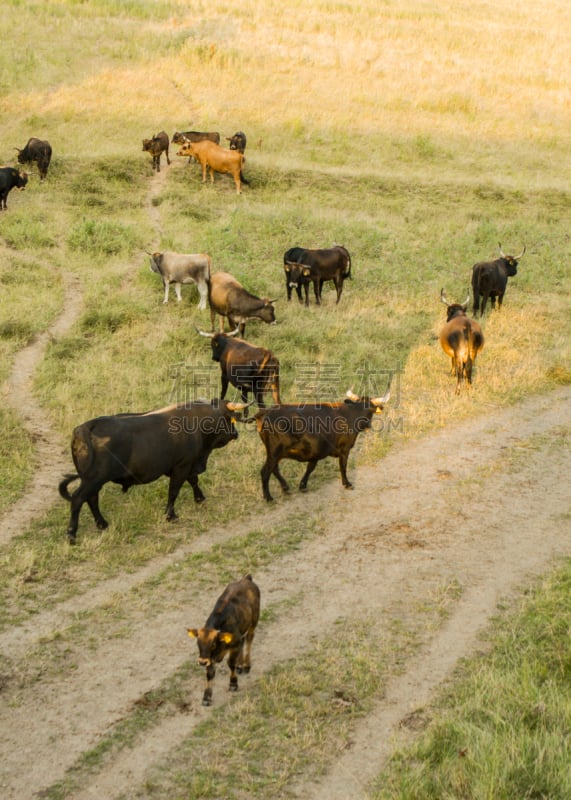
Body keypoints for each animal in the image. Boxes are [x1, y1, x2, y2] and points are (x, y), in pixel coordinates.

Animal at [58, 400, 246, 544]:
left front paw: (200, 498)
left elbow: (193, 480)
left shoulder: (188, 465)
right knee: (78, 499)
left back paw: (102, 524)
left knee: (91, 499)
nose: (236, 434)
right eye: (229, 419)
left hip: (93, 481)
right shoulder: (182, 466)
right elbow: (174, 491)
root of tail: (86, 426)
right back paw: (72, 534)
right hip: (93, 480)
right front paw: (171, 515)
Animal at [188, 576, 262, 708]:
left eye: (212, 644)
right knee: (244, 641)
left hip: (254, 621)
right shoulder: (210, 658)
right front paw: (206, 697)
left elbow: (230, 663)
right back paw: (240, 665)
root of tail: (246, 579)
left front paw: (233, 684)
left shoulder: (234, 646)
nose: (201, 662)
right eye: (198, 643)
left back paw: (246, 665)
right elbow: (210, 673)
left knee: (249, 639)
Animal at [256, 386, 394, 500]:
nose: (368, 425)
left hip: (275, 454)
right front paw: (347, 484)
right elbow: (343, 467)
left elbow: (310, 468)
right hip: (275, 452)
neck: (351, 414)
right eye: (370, 411)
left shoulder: (316, 452)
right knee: (265, 471)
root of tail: (267, 413)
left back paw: (285, 487)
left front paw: (303, 485)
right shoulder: (344, 449)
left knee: (274, 469)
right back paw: (268, 497)